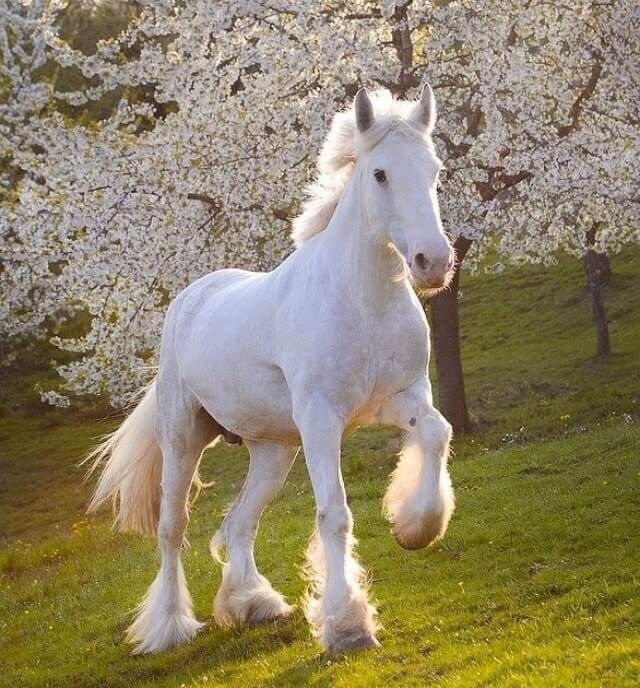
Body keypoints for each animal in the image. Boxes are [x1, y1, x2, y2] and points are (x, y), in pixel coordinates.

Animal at [86, 86, 456, 656]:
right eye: (380, 174)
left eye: (434, 169)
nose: (433, 262)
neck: (363, 299)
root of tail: (191, 298)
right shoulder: (323, 419)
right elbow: (334, 513)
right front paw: (347, 626)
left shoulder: (401, 397)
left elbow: (438, 433)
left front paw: (414, 527)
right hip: (183, 438)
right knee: (173, 528)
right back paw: (168, 627)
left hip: (273, 451)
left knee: (237, 524)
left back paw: (252, 604)